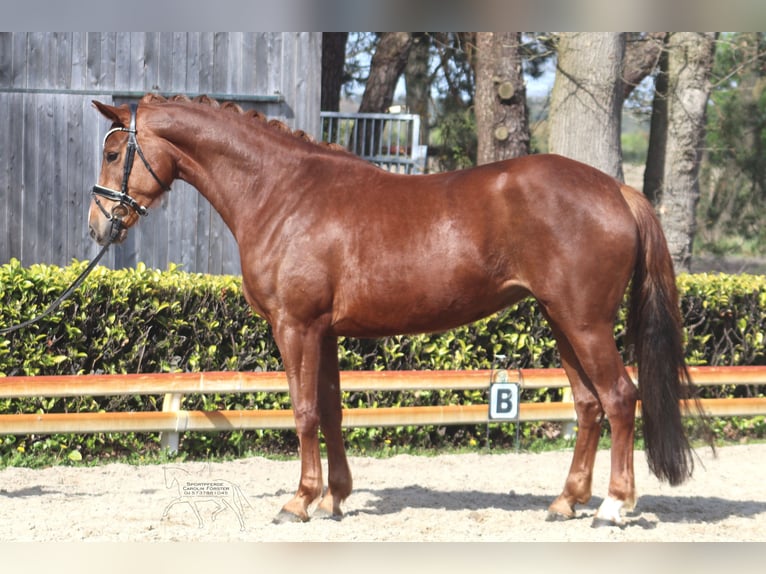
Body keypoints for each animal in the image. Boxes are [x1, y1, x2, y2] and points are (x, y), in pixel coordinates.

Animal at [88, 94, 701, 526]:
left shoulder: (296, 327)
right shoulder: (325, 332)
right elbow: (331, 411)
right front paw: (335, 497)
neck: (283, 193)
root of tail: (617, 191)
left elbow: (303, 412)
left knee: (619, 398)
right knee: (589, 405)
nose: (98, 226)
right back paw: (566, 502)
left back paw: (613, 507)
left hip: (584, 322)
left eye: (114, 153)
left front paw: (299, 501)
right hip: (561, 321)